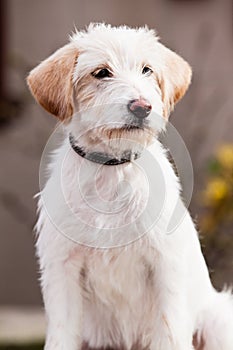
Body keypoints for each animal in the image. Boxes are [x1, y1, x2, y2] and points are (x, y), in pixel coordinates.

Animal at [27, 24, 233, 350]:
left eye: (147, 70)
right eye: (101, 73)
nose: (142, 107)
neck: (112, 170)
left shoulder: (165, 264)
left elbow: (170, 332)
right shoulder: (62, 269)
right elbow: (61, 334)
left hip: (219, 320)